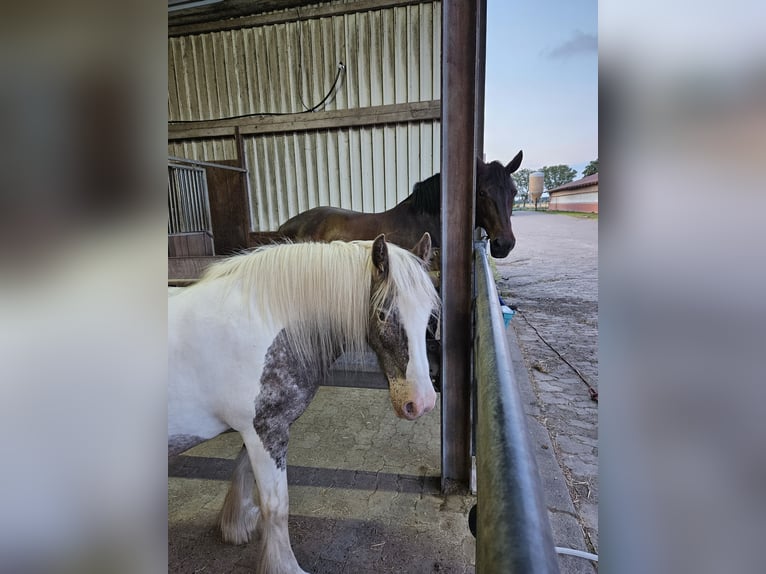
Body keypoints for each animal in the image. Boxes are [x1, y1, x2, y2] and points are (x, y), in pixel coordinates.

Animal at [168, 232, 440, 574]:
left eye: (429, 314)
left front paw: (237, 526)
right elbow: (277, 506)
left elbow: (242, 470)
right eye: (382, 313)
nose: (421, 402)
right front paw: (284, 566)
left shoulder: (259, 430)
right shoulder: (266, 431)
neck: (267, 321)